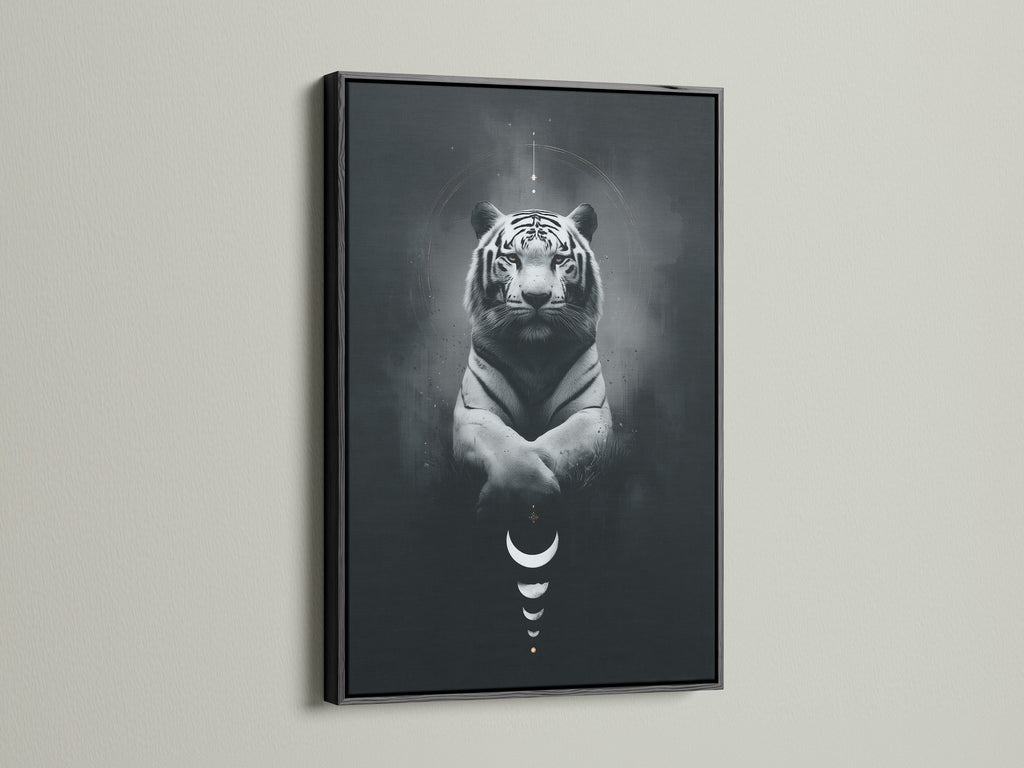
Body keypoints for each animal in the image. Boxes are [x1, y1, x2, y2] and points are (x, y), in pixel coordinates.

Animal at [453, 202, 613, 514]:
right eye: (512, 258)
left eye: (559, 259)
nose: (536, 297)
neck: (534, 354)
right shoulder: (473, 412)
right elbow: (510, 448)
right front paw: (519, 491)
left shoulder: (593, 413)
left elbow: (551, 443)